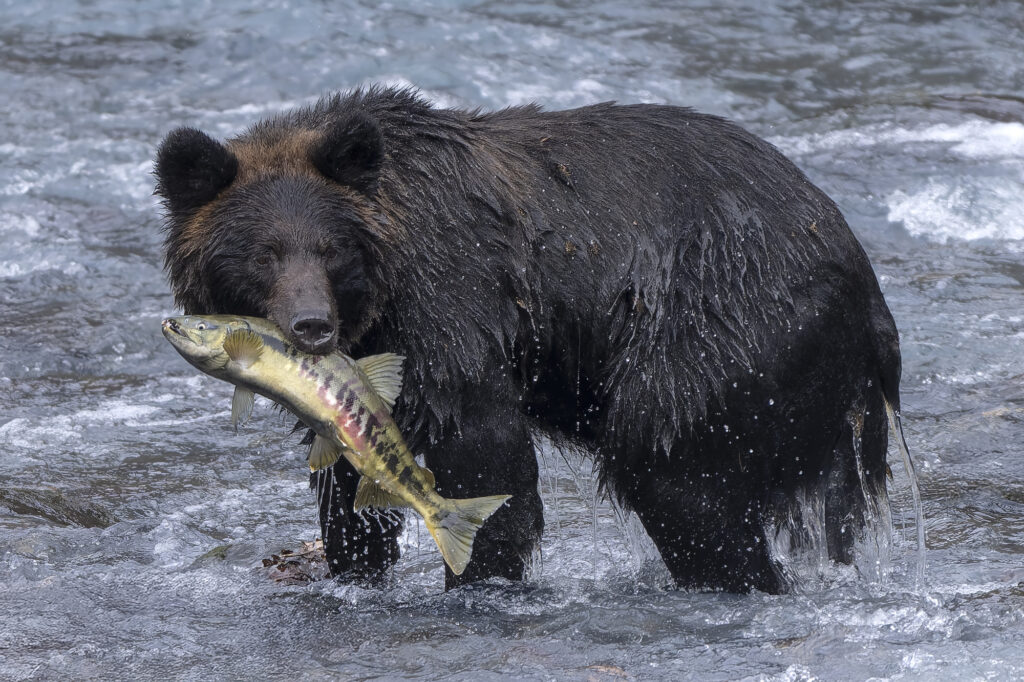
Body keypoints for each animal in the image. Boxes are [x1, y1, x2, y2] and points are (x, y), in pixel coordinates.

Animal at [154, 86, 902, 593]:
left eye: (330, 249)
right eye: (262, 254)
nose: (312, 326)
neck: (387, 286)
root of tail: (865, 284)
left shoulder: (454, 304)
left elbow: (486, 456)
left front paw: (474, 576)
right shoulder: (365, 370)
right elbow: (348, 479)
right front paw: (355, 568)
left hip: (721, 333)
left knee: (678, 476)